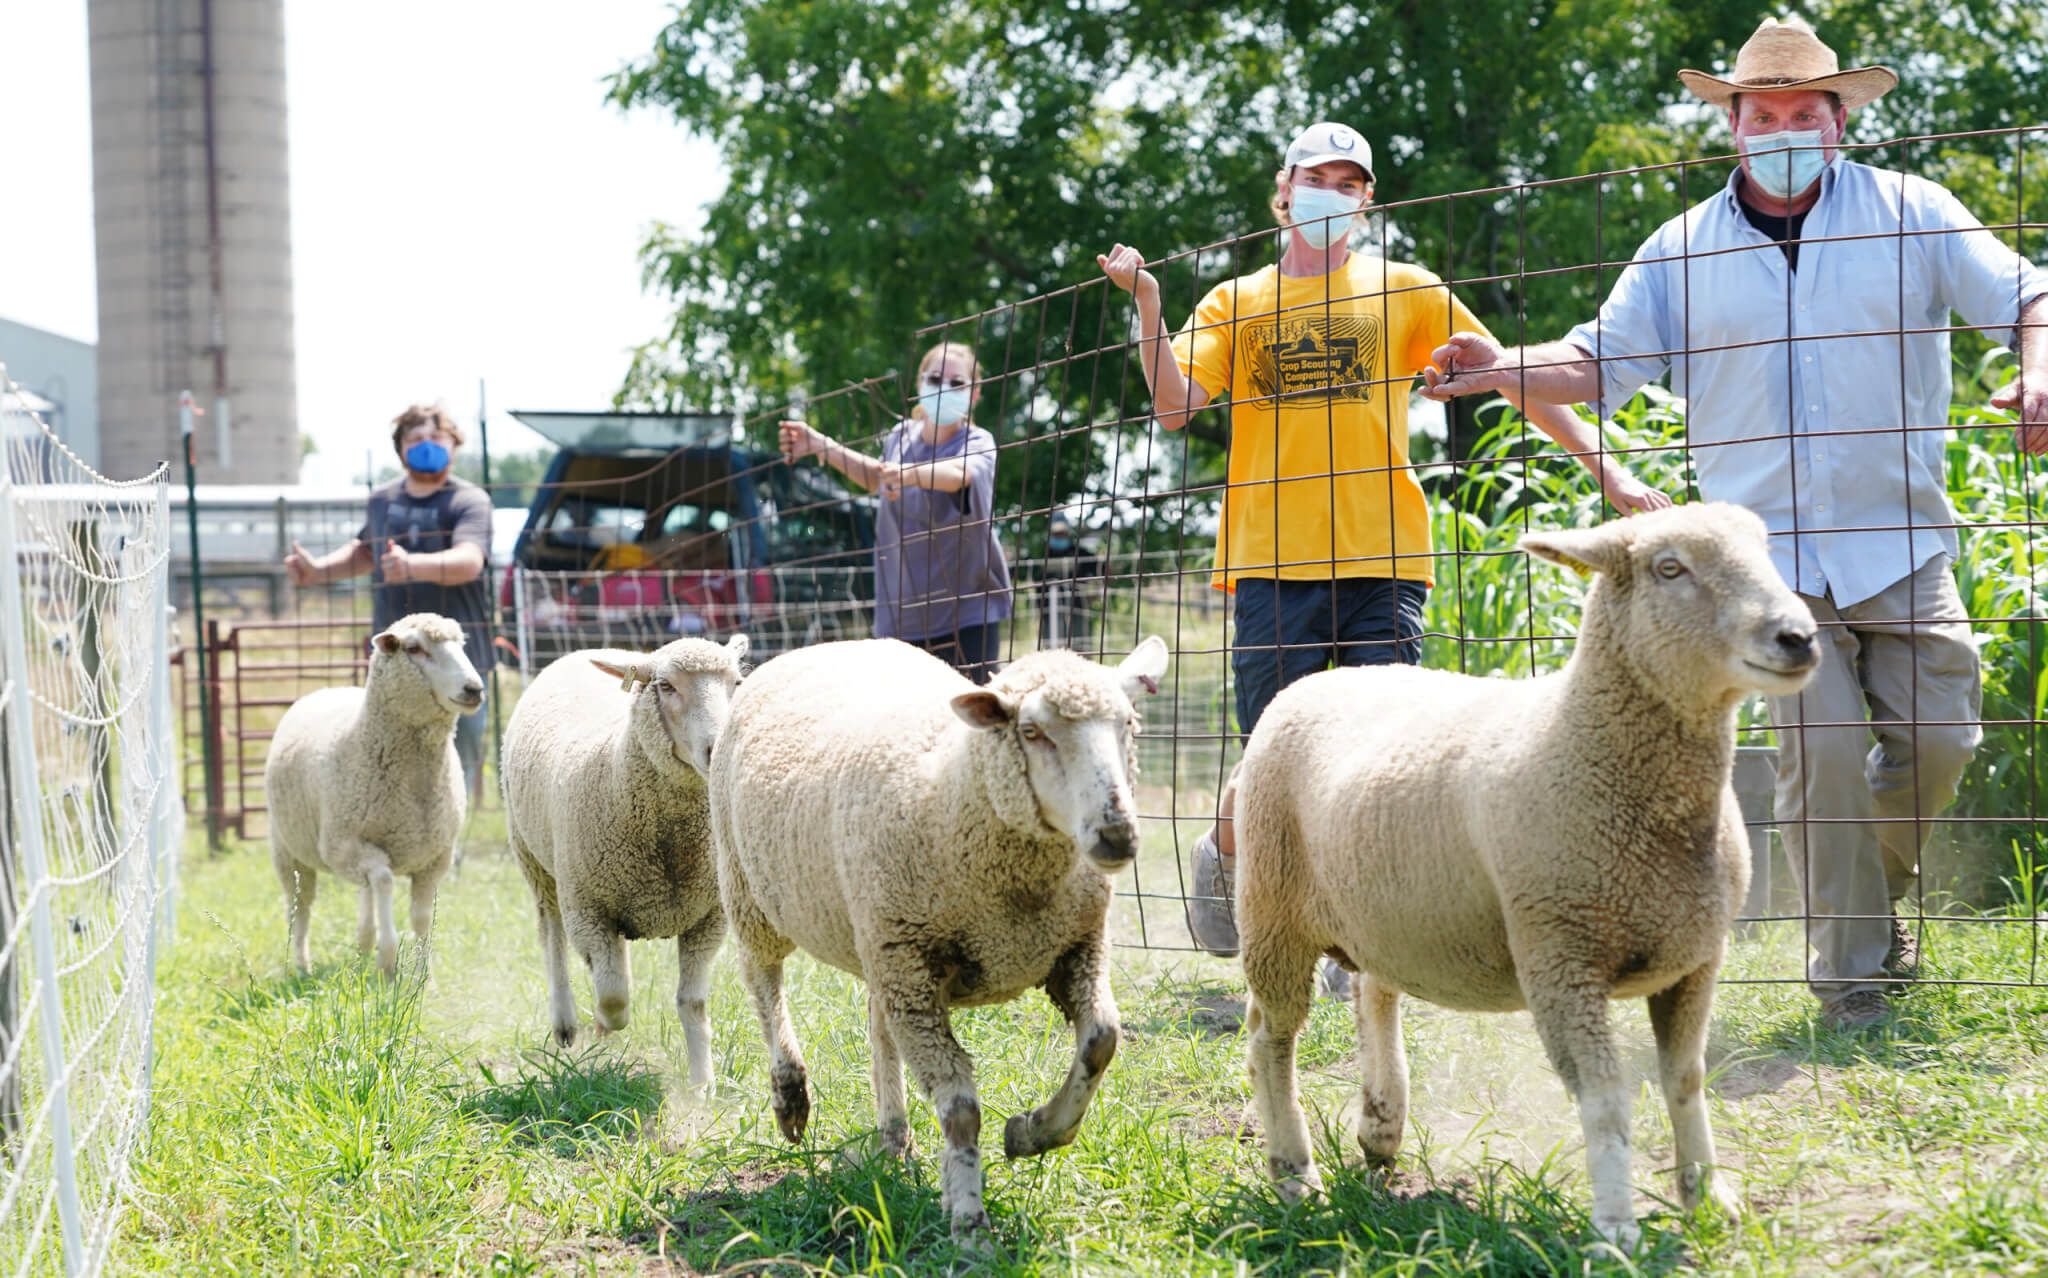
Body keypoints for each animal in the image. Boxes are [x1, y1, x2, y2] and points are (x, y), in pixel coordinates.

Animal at [264, 610, 483, 978]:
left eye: (462, 644)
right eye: (414, 648)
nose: (474, 688)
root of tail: (328, 688)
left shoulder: (434, 859)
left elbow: (421, 918)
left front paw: (422, 976)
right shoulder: (342, 846)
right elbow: (383, 881)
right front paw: (388, 958)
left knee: (362, 892)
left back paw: (363, 941)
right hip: (289, 852)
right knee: (300, 908)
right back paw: (302, 965)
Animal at [499, 634, 749, 1081]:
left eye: (736, 683)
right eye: (665, 686)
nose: (717, 748)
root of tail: (582, 651)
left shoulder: (708, 918)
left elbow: (693, 1004)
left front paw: (703, 1085)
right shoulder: (587, 910)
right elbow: (614, 998)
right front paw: (603, 1021)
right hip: (535, 862)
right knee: (552, 937)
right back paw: (565, 1023)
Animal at [712, 634, 1171, 1245]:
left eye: (1129, 725)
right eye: (1032, 731)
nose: (1118, 834)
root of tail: (822, 643)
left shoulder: (1075, 949)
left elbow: (1101, 1041)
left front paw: (1033, 1132)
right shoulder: (911, 970)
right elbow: (959, 1109)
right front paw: (970, 1222)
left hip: (877, 940)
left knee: (878, 1026)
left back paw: (895, 1138)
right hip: (752, 894)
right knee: (765, 986)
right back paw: (791, 1097)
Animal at [1228, 503, 1826, 1245]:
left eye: (1766, 551)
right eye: (1669, 568)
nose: (1799, 637)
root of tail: (1319, 678)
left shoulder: (1695, 959)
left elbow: (1686, 1081)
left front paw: (1708, 1198)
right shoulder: (1560, 958)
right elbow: (1605, 1100)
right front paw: (1616, 1229)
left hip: (1382, 903)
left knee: (1373, 992)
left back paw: (1381, 1125)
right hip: (1273, 909)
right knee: (1270, 1039)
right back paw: (1295, 1174)